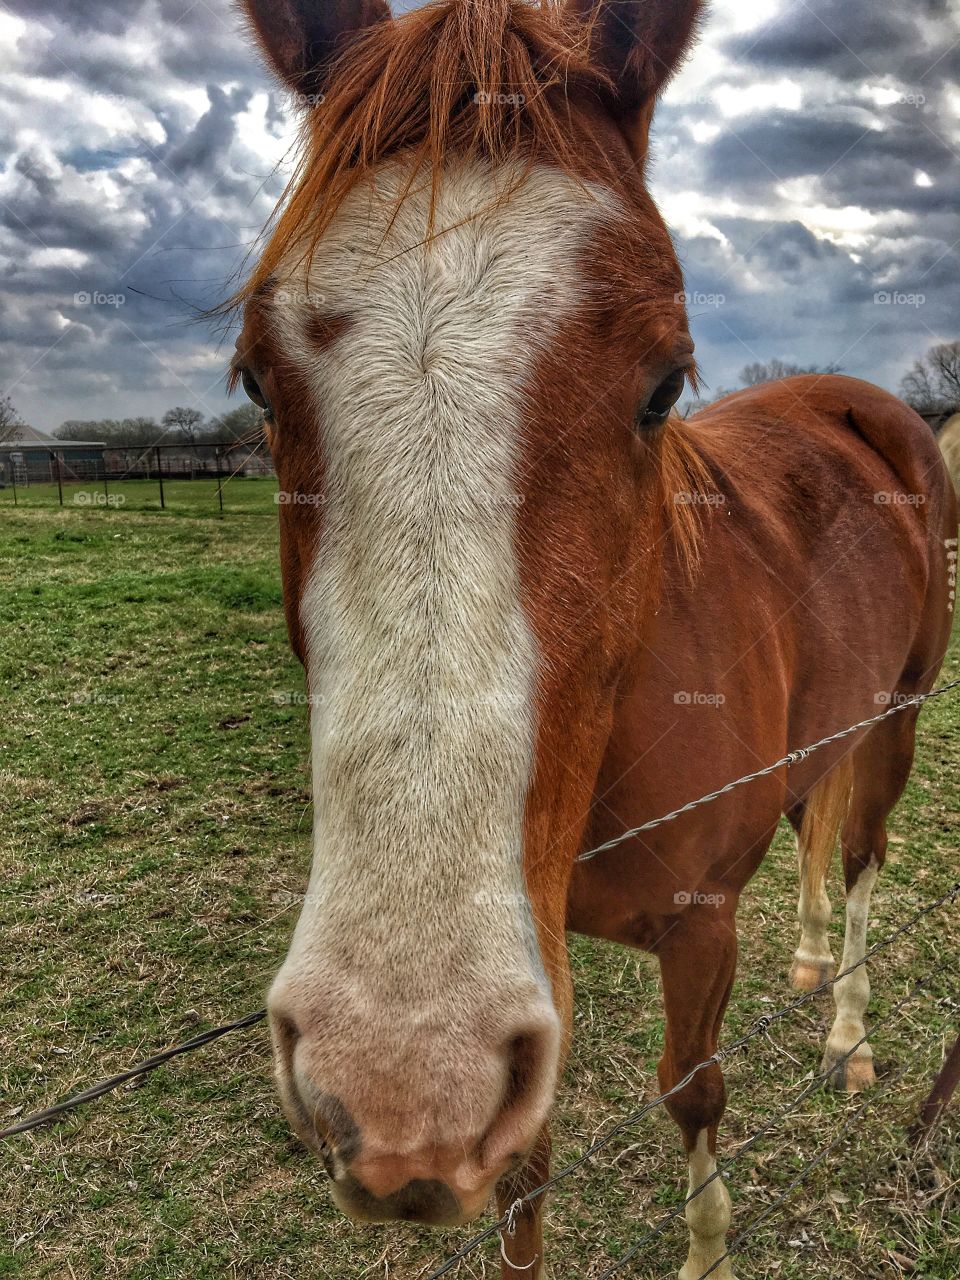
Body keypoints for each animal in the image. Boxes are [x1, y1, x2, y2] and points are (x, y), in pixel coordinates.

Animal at [227, 1, 958, 1275]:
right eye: (260, 386)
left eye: (665, 384)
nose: (401, 1077)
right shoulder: (535, 979)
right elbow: (527, 1168)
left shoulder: (702, 923)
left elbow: (694, 1089)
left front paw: (707, 1247)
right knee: (819, 828)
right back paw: (811, 956)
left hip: (903, 713)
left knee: (864, 852)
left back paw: (848, 1030)